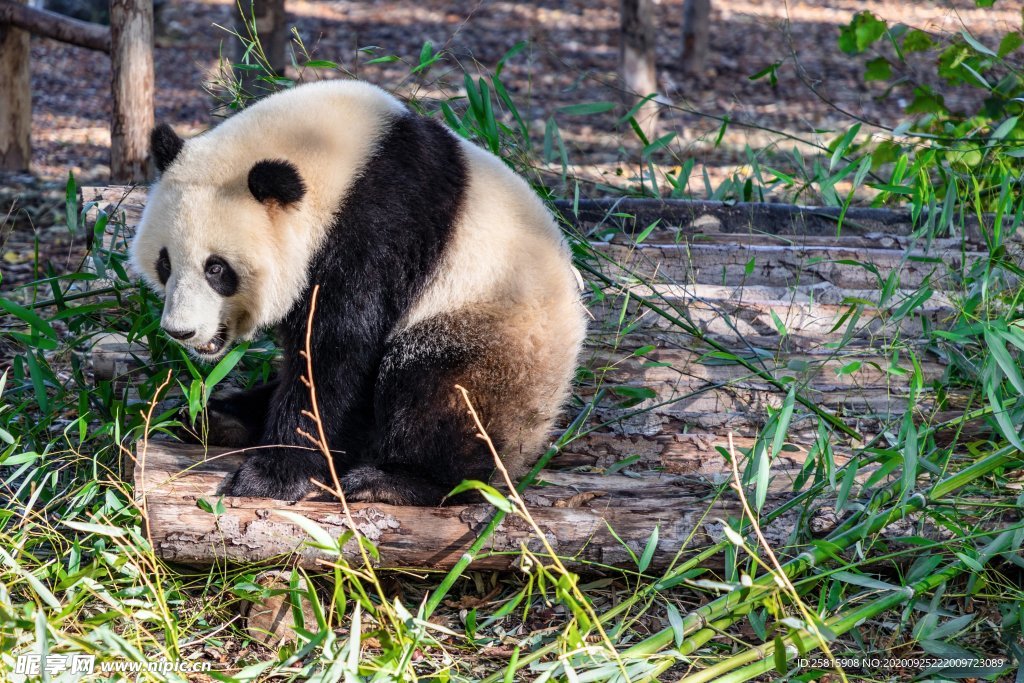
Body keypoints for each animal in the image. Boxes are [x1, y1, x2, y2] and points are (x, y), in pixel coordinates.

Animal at [130, 80, 585, 507]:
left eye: (217, 269)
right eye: (165, 264)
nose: (180, 331)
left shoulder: (378, 228)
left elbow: (338, 351)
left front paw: (271, 475)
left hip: (492, 332)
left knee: (437, 393)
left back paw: (396, 481)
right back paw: (218, 418)